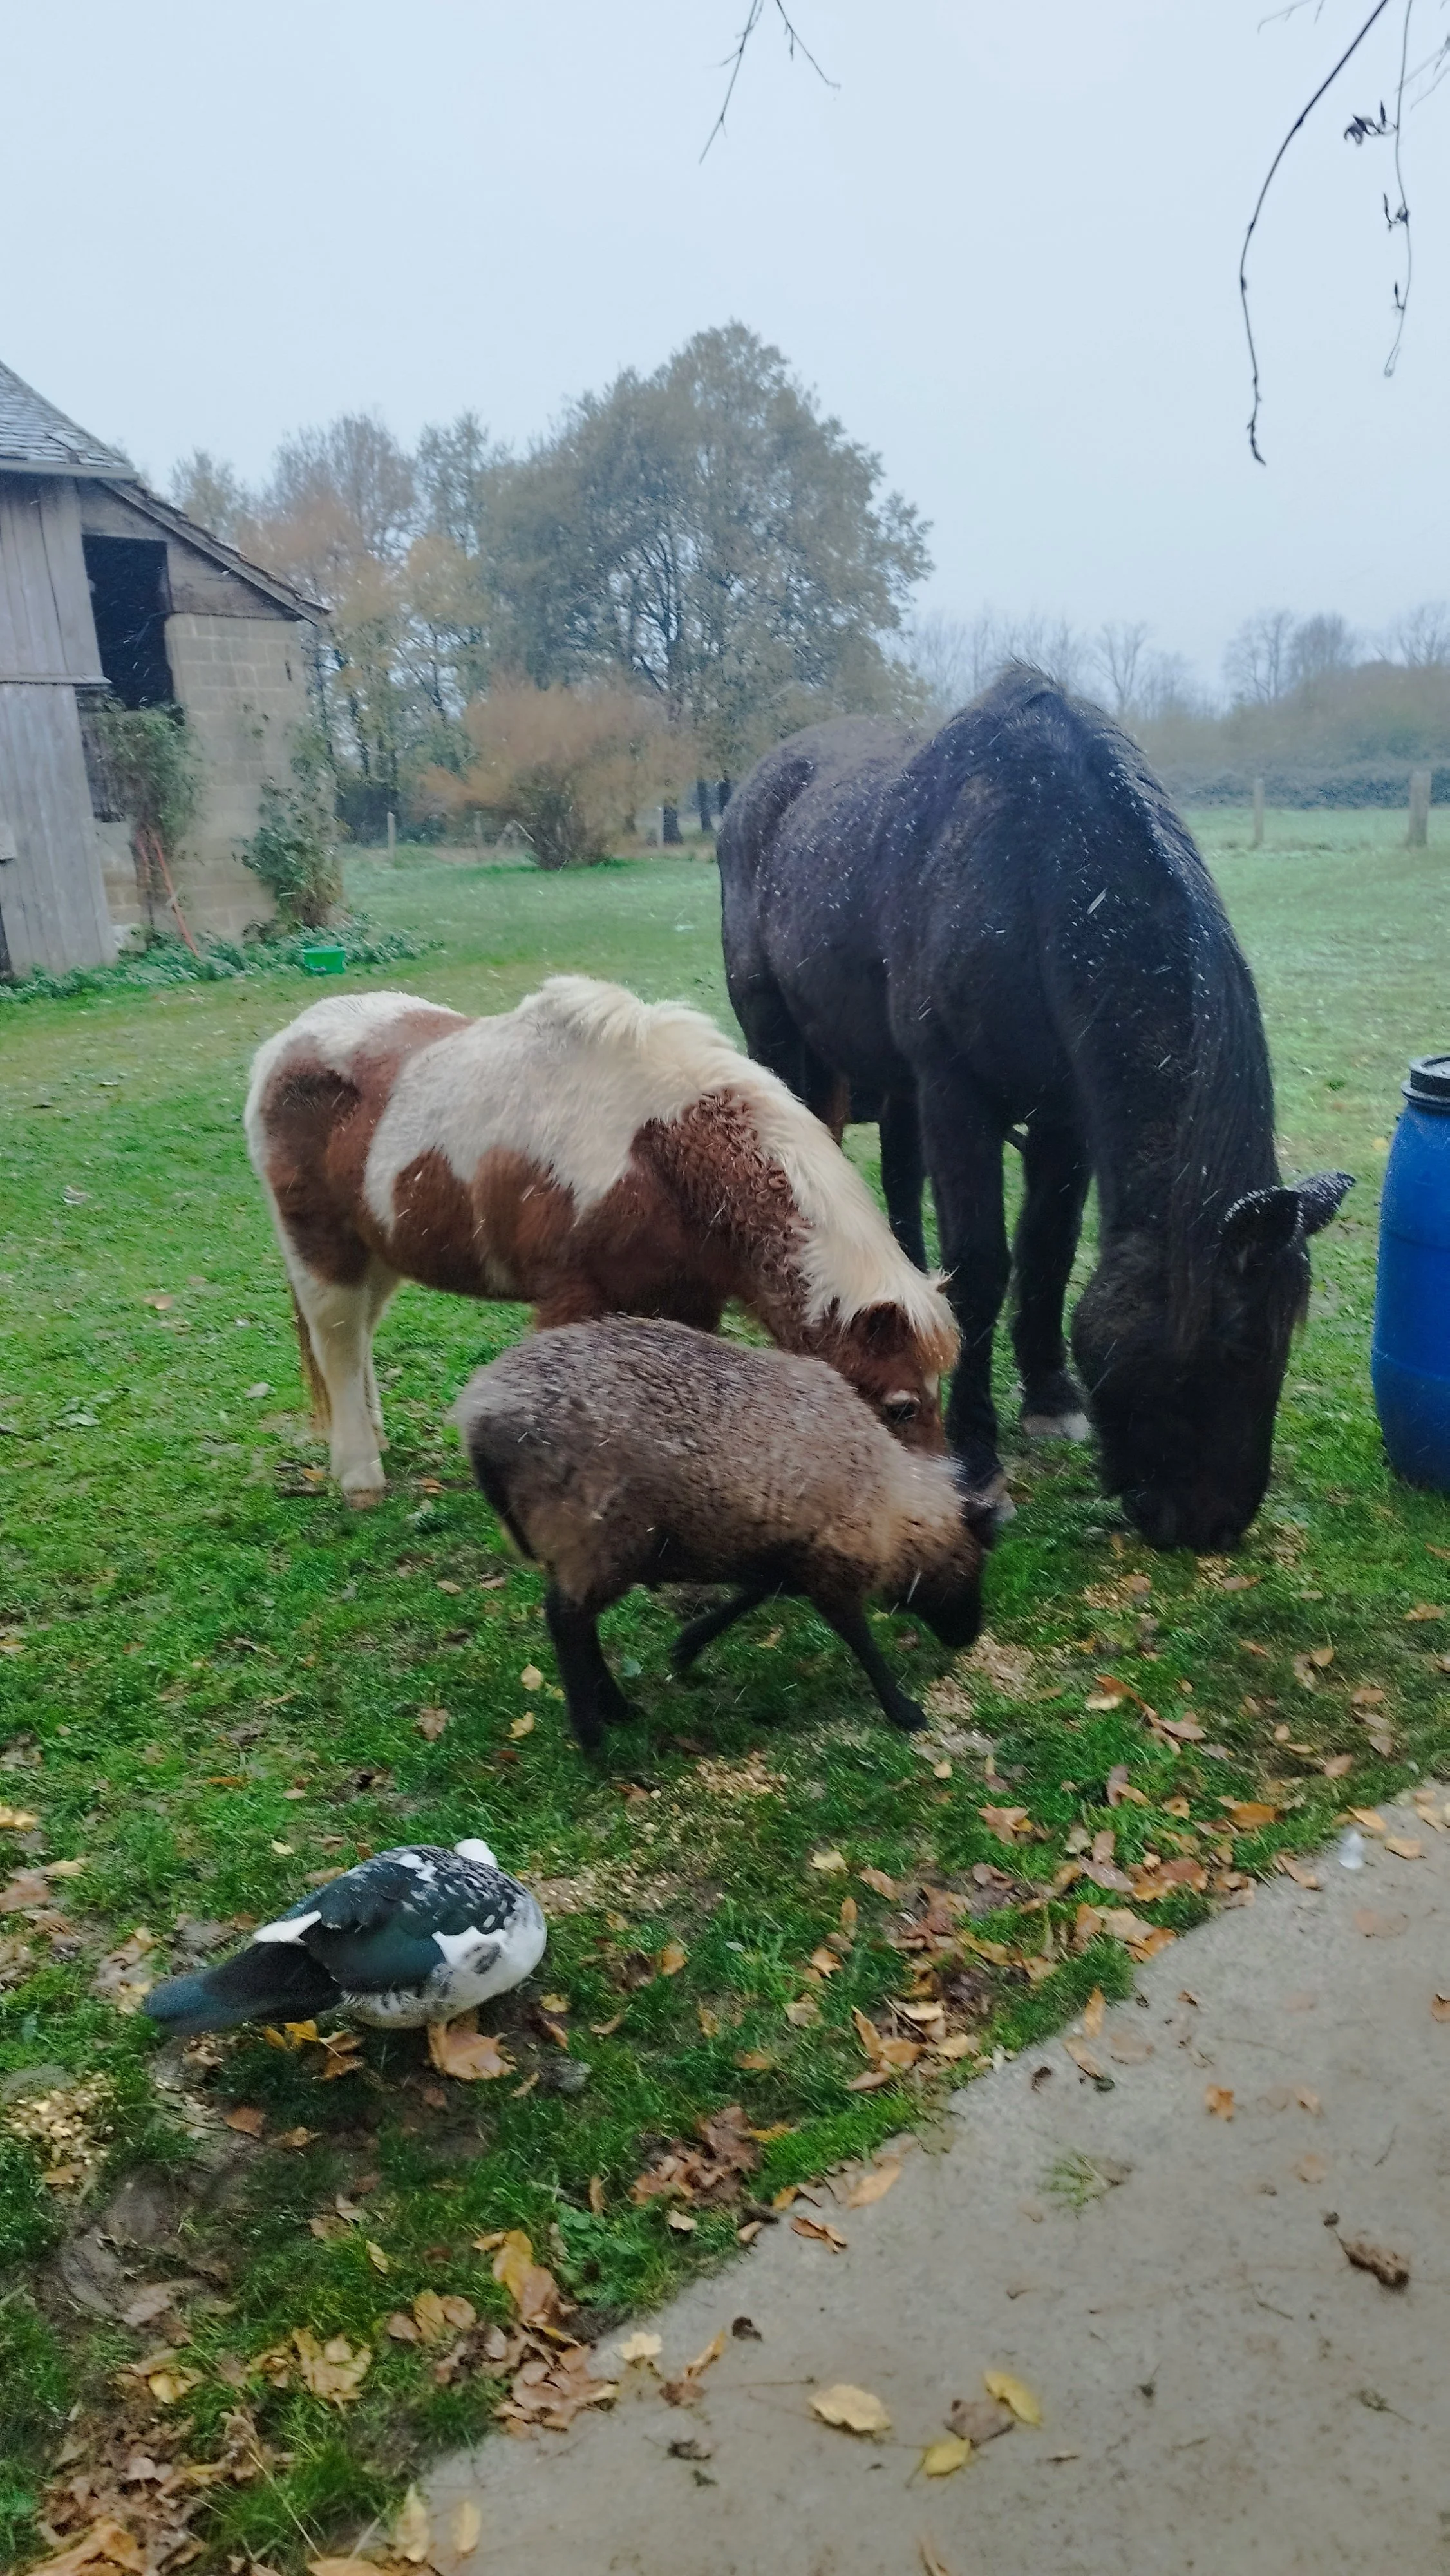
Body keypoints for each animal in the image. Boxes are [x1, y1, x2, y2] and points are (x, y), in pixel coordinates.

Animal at [244, 973, 959, 1502]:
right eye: (900, 1406)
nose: (962, 1514)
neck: (659, 1152)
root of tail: (281, 1048)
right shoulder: (575, 1301)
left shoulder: (686, 1301)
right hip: (322, 1249)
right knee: (337, 1337)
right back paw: (360, 1473)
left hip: (379, 1248)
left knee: (358, 1336)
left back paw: (371, 1433)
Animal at [717, 669, 1352, 1553]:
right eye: (1232, 1343)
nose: (1211, 1524)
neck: (1030, 877)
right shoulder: (958, 1095)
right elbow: (984, 1265)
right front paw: (976, 1469)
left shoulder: (1062, 1118)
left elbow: (1046, 1247)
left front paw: (1049, 1396)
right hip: (777, 1032)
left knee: (901, 1184)